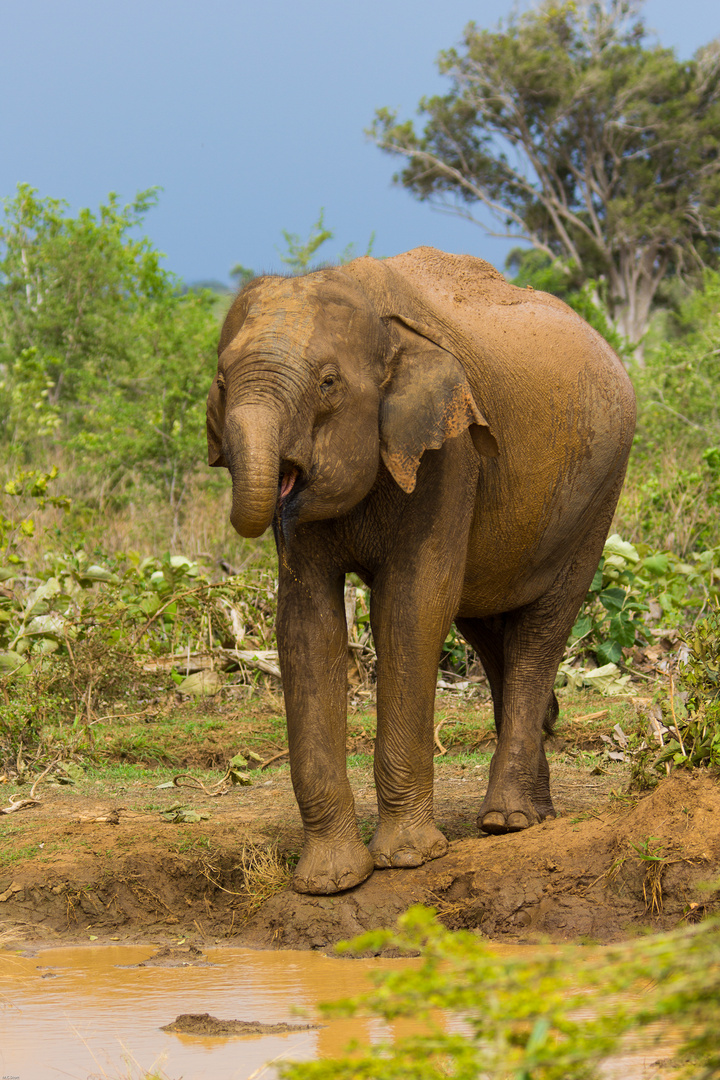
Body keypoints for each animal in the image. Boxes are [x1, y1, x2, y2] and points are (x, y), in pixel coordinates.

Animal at [207, 245, 634, 894]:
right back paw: (535, 810)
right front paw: (331, 883)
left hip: (598, 494)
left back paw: (506, 822)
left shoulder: (451, 453)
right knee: (488, 629)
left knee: (540, 629)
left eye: (329, 385)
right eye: (222, 383)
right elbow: (307, 622)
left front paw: (409, 859)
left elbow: (410, 607)